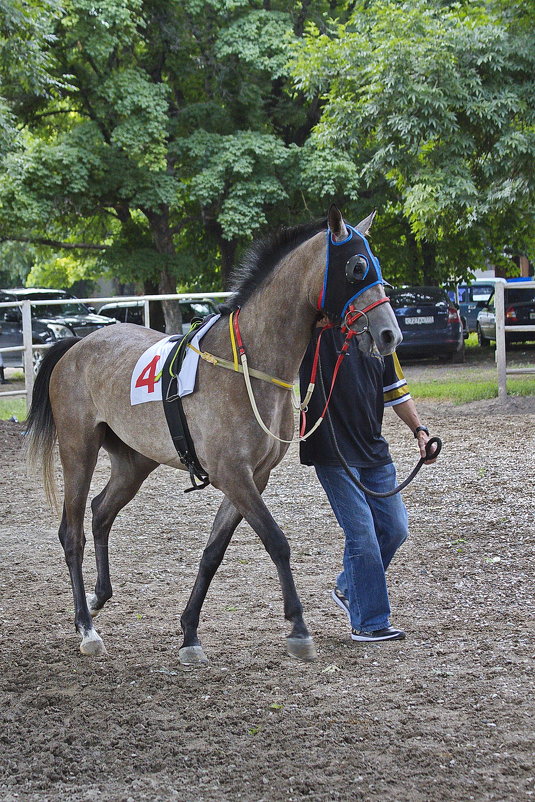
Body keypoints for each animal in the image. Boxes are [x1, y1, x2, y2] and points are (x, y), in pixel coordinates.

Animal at [25, 205, 402, 664]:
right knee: (72, 532)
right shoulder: (232, 475)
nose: (389, 334)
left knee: (100, 513)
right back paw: (86, 626)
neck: (248, 361)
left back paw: (99, 597)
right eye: (357, 266)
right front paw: (298, 629)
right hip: (78, 449)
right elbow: (277, 541)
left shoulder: (252, 478)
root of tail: (76, 345)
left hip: (133, 462)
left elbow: (212, 553)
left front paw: (189, 634)